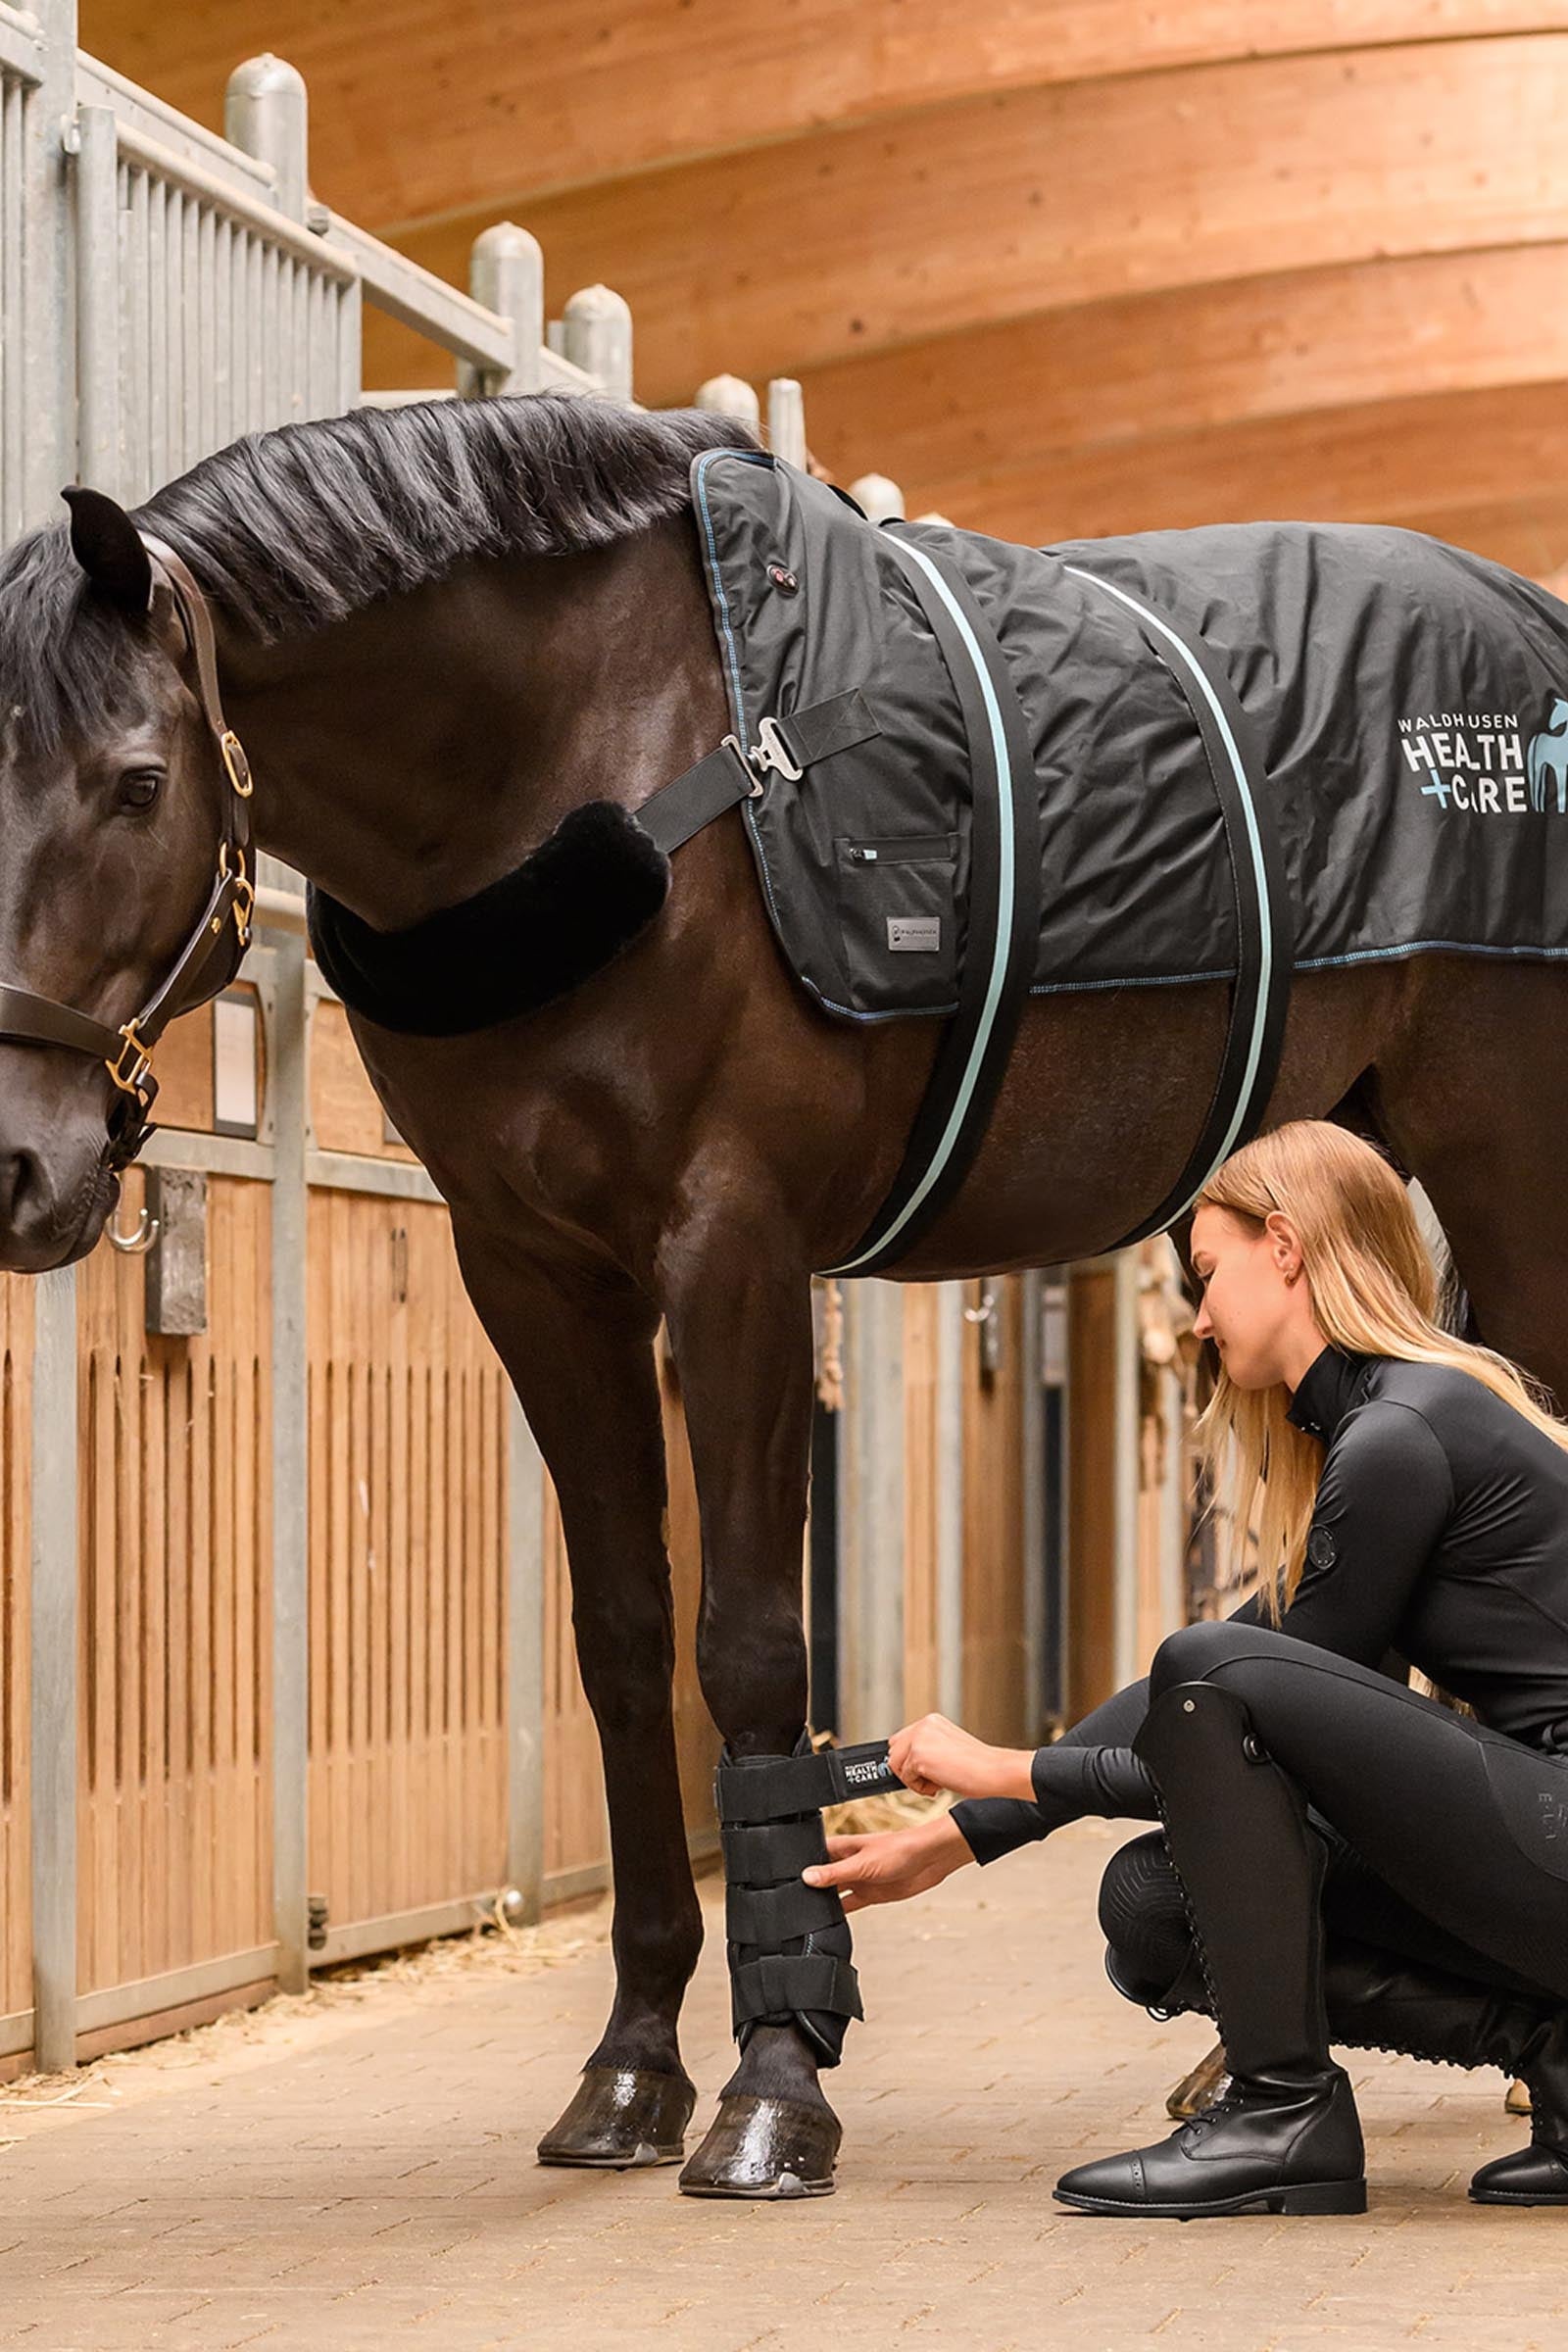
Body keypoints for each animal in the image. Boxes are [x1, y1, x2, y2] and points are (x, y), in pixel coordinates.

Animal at [0, 391, 1562, 2200]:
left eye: (136, 781)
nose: (19, 1164)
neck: (598, 758)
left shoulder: (732, 1249)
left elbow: (747, 1647)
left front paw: (774, 2081)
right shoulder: (535, 1269)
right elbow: (623, 1643)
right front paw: (627, 2071)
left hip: (1511, 1160)